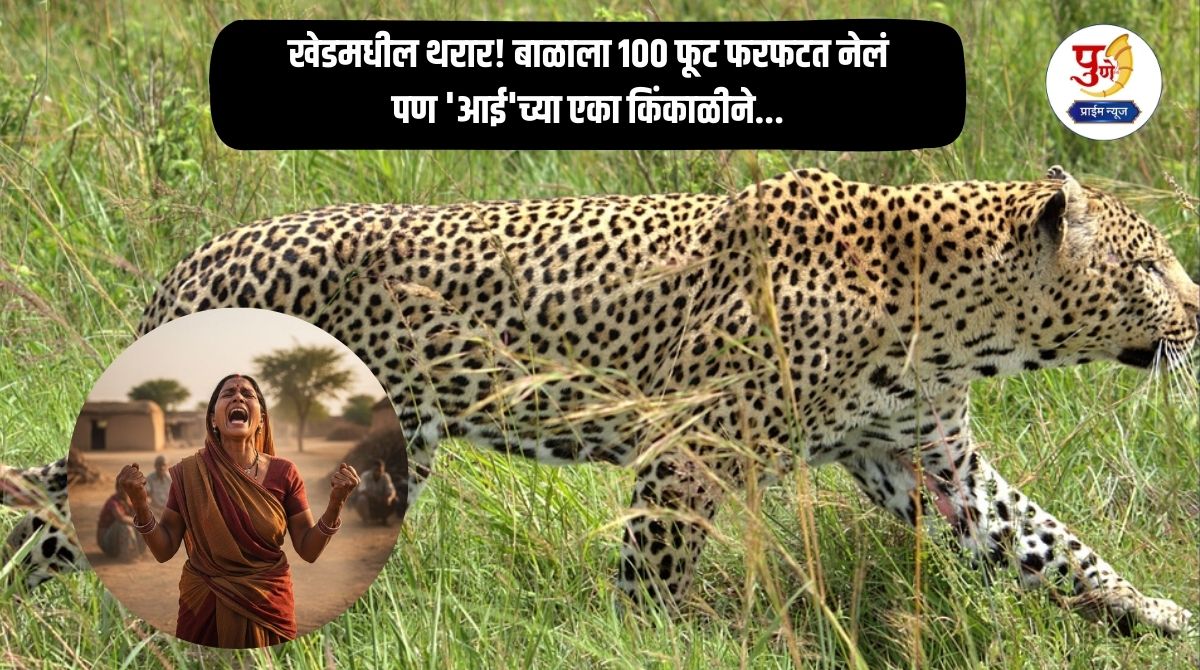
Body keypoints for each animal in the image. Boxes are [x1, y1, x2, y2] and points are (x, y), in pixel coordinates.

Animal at [6, 166, 1197, 636]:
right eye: (1149, 267)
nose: (1198, 308)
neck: (958, 322)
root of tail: (197, 255)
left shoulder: (926, 460)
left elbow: (1052, 545)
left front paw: (1158, 618)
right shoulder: (690, 446)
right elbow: (655, 570)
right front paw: (648, 643)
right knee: (67, 515)